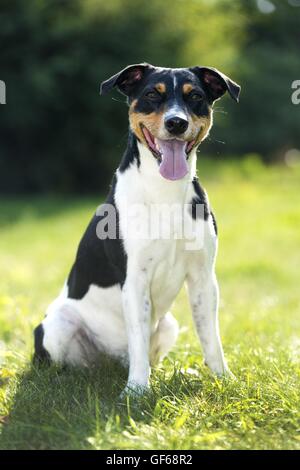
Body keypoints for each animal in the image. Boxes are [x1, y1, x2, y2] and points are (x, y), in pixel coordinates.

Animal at [34, 61, 241, 392]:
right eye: (152, 95)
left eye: (195, 96)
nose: (176, 123)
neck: (164, 189)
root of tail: (111, 361)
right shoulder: (134, 278)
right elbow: (138, 338)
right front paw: (137, 390)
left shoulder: (203, 277)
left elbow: (211, 336)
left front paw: (223, 379)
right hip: (58, 324)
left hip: (169, 324)